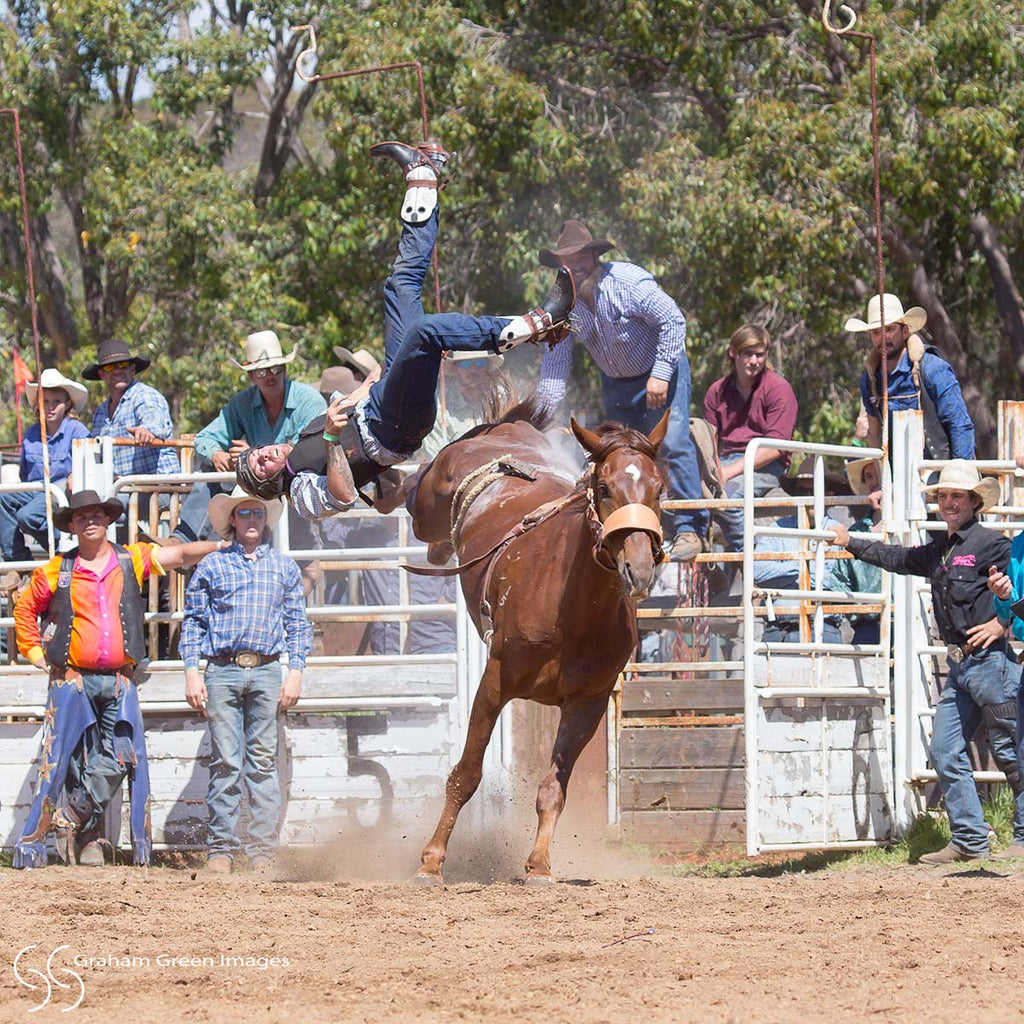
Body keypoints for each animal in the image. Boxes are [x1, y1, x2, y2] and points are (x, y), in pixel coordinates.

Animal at [403, 395, 667, 884]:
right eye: (604, 487)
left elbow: (553, 789)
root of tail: (507, 430)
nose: (638, 570)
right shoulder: (493, 683)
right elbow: (466, 775)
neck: (574, 612)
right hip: (432, 495)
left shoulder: (588, 705)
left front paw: (540, 864)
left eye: (658, 488)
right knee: (414, 501)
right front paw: (431, 861)